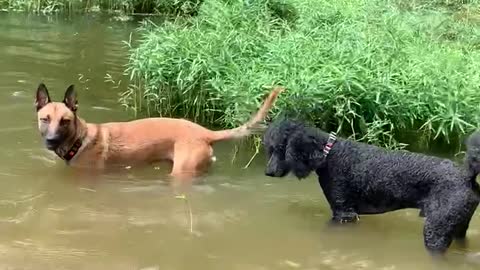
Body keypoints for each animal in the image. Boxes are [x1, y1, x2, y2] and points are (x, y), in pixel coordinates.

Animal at [35, 82, 284, 179]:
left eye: (65, 121)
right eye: (45, 119)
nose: (51, 140)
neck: (80, 139)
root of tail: (205, 132)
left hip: (181, 171)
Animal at [262, 118, 480, 255]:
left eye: (281, 149)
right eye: (269, 149)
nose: (268, 172)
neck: (329, 154)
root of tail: (466, 175)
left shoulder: (344, 213)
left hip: (436, 231)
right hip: (459, 227)